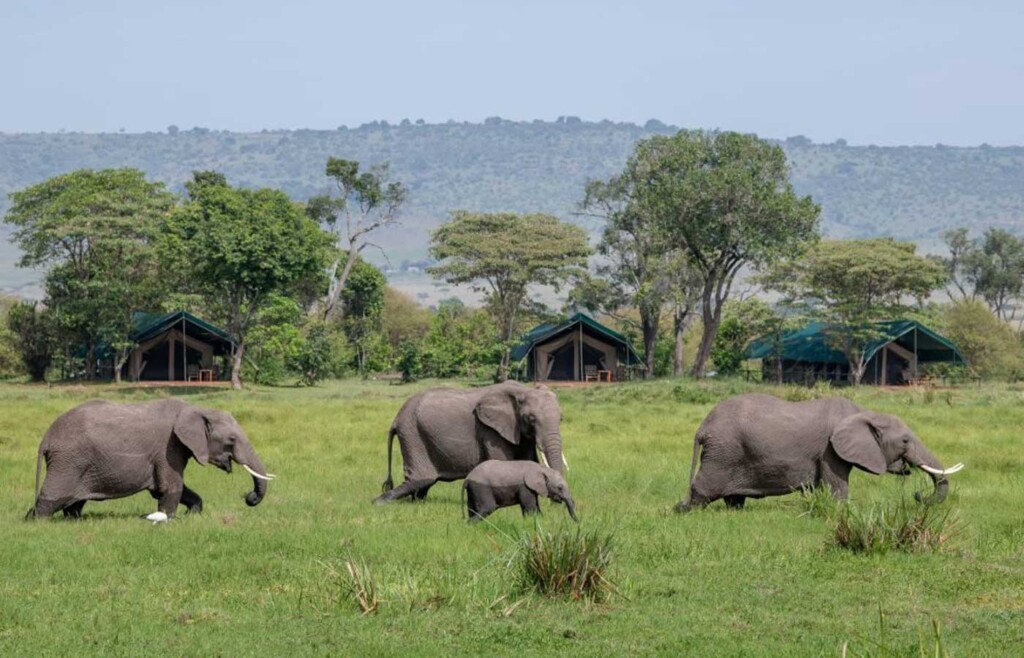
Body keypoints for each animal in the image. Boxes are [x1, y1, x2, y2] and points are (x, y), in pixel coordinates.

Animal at [27, 397, 276, 519]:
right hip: (68, 462)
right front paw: (169, 518)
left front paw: (192, 514)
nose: (249, 497)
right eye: (231, 440)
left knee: (72, 503)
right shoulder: (169, 447)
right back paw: (38, 521)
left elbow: (180, 489)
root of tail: (46, 439)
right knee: (51, 499)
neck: (196, 409)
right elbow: (171, 487)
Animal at [374, 380, 569, 505]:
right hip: (412, 435)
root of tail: (397, 418)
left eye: (561, 418)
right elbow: (504, 464)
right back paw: (379, 502)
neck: (522, 390)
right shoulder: (490, 431)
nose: (556, 502)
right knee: (420, 480)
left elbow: (529, 462)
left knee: (423, 484)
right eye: (531, 419)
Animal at [675, 392, 962, 511]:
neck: (864, 412)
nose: (917, 495)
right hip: (723, 452)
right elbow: (837, 484)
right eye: (904, 441)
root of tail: (703, 427)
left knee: (733, 498)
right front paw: (842, 511)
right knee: (704, 488)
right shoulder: (830, 451)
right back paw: (684, 509)